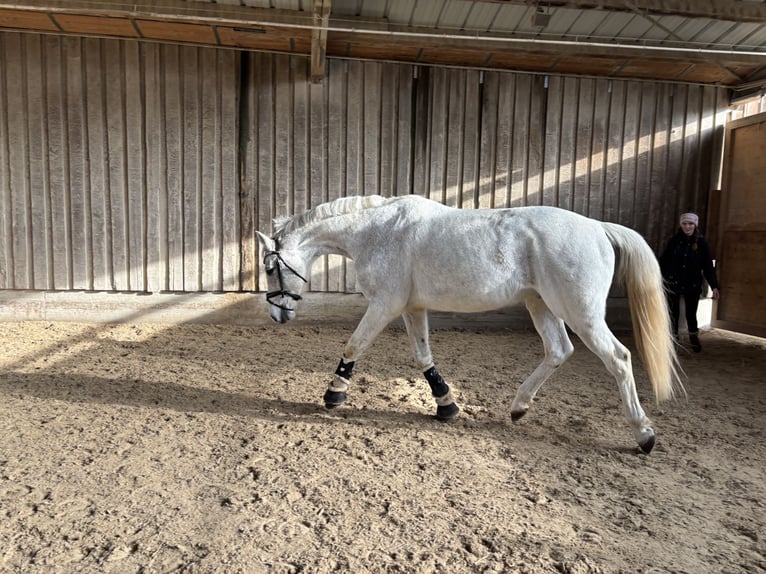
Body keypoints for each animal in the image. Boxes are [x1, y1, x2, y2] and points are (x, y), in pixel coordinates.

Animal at [256, 194, 683, 453]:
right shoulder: (412, 307)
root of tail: (597, 226)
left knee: (619, 358)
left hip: (582, 313)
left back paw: (644, 434)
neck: (377, 231)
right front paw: (446, 405)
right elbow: (423, 357)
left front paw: (333, 395)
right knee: (558, 351)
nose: (278, 314)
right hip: (541, 304)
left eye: (270, 267)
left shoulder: (384, 304)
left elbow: (354, 345)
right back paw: (518, 408)